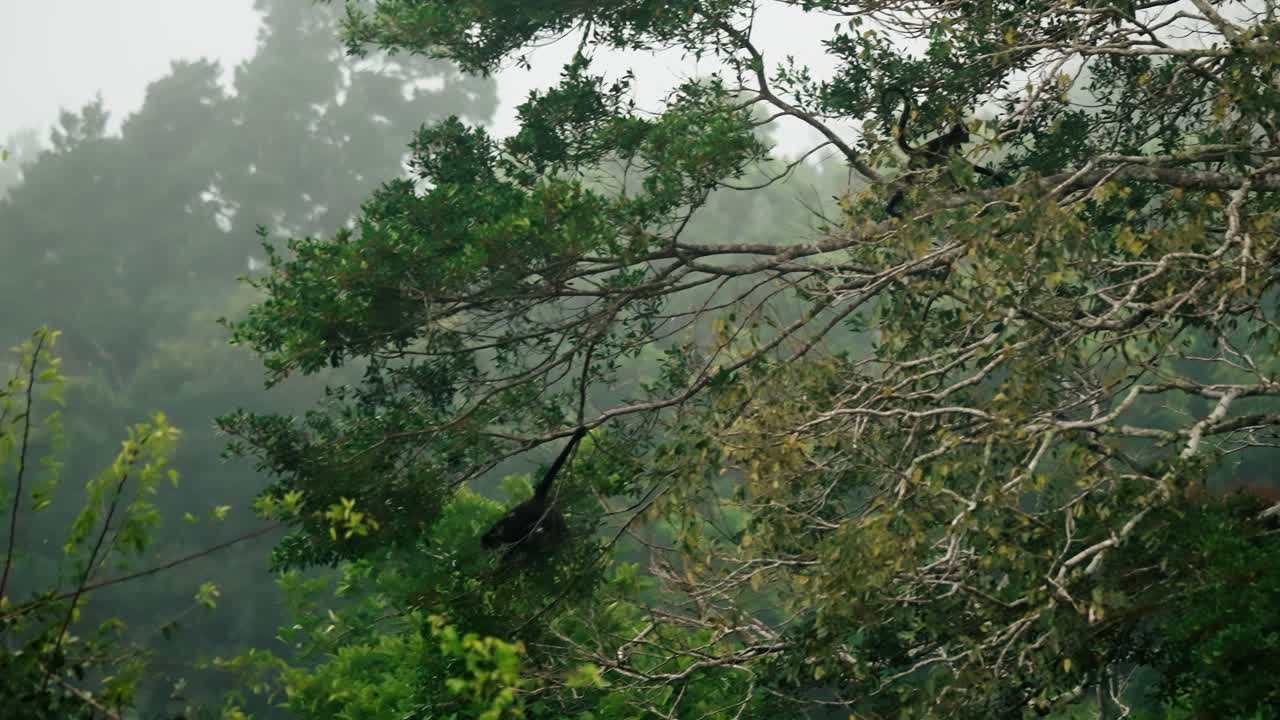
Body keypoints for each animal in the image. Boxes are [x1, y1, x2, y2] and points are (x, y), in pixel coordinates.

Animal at [882, 88, 1004, 218]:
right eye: (966, 134)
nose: (968, 137)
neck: (952, 139)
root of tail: (917, 150)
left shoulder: (956, 146)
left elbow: (959, 162)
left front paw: (995, 176)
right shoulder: (947, 145)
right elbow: (947, 162)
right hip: (915, 163)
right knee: (924, 171)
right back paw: (890, 209)